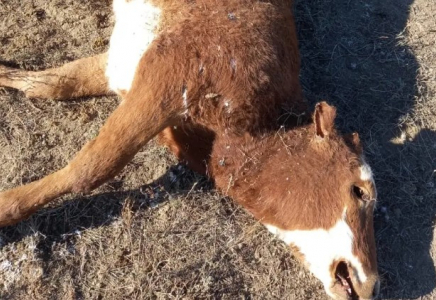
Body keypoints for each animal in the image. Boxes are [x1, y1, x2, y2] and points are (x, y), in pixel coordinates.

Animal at [0, 0, 378, 298]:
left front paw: (9, 74)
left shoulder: (125, 68)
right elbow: (94, 166)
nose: (372, 285)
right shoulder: (170, 72)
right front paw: (6, 208)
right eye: (359, 190)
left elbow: (53, 84)